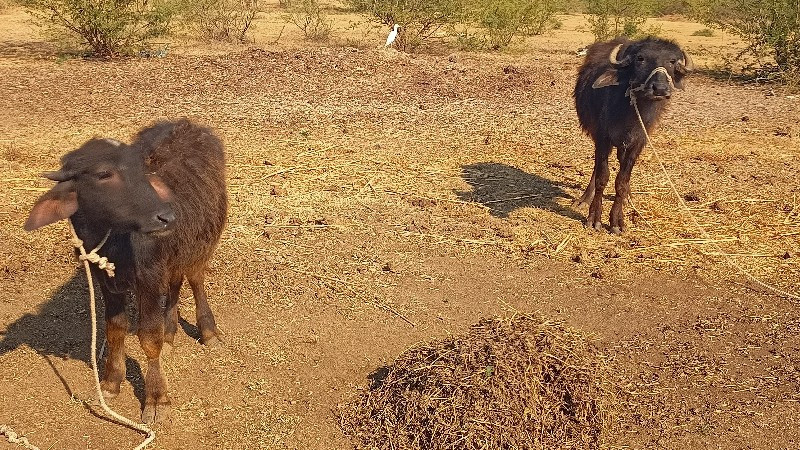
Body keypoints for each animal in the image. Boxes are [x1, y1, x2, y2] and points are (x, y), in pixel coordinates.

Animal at [25, 118, 228, 422]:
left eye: (140, 171)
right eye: (103, 174)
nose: (166, 217)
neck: (113, 241)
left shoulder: (149, 278)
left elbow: (149, 338)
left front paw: (156, 398)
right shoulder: (107, 281)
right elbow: (115, 329)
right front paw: (110, 382)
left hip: (199, 242)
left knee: (194, 279)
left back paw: (208, 332)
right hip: (173, 254)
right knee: (175, 283)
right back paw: (171, 331)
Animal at [572, 37, 692, 234]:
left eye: (672, 61)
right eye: (640, 58)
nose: (660, 89)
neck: (630, 113)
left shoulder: (637, 144)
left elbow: (621, 181)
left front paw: (617, 220)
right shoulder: (602, 139)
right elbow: (602, 177)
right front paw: (594, 218)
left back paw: (628, 196)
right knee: (597, 169)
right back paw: (585, 198)